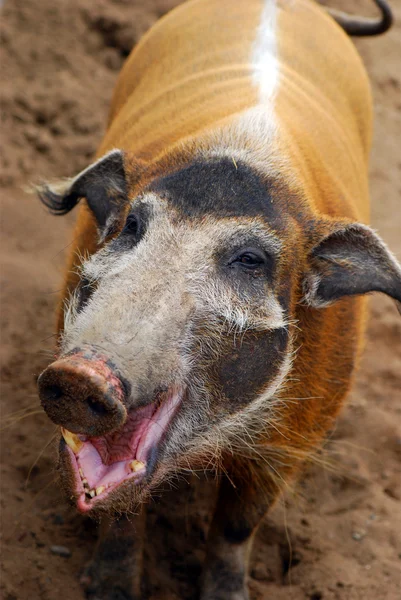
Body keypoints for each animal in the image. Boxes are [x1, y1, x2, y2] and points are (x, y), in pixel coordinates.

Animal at [35, 1, 396, 600]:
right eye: (132, 226)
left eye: (249, 260)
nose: (80, 375)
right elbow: (122, 516)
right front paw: (108, 590)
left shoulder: (294, 440)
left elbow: (236, 524)